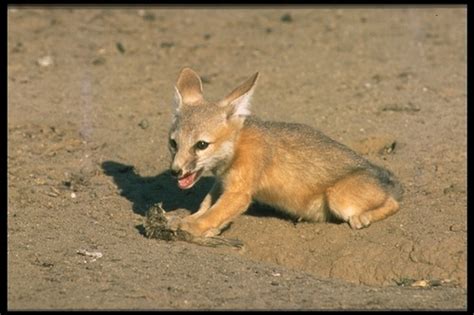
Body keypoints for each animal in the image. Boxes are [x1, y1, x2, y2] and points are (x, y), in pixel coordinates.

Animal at [166, 68, 404, 238]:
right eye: (173, 143)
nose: (175, 172)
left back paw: (363, 218)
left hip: (339, 198)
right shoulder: (223, 183)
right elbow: (207, 205)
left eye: (201, 145)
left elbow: (213, 214)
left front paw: (190, 225)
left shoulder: (239, 193)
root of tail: (381, 174)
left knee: (394, 203)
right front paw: (188, 220)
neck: (238, 147)